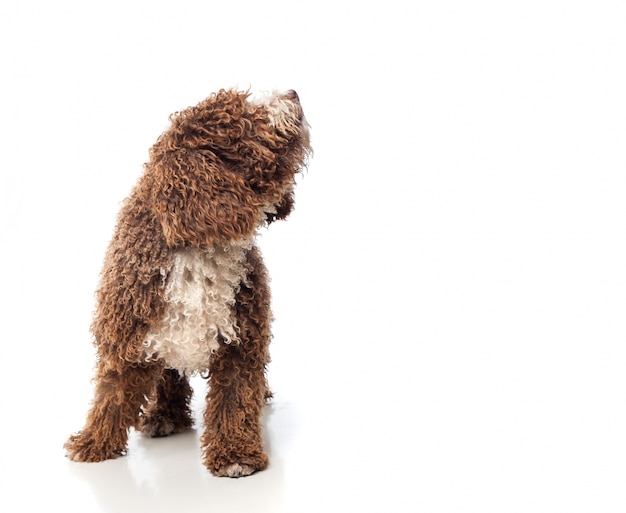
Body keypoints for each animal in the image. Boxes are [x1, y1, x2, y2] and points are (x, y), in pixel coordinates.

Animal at [65, 88, 310, 476]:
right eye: (244, 114)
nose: (293, 92)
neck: (199, 246)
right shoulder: (127, 331)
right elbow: (112, 393)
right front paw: (93, 443)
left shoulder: (243, 338)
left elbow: (236, 397)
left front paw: (236, 454)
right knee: (168, 376)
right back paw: (163, 415)